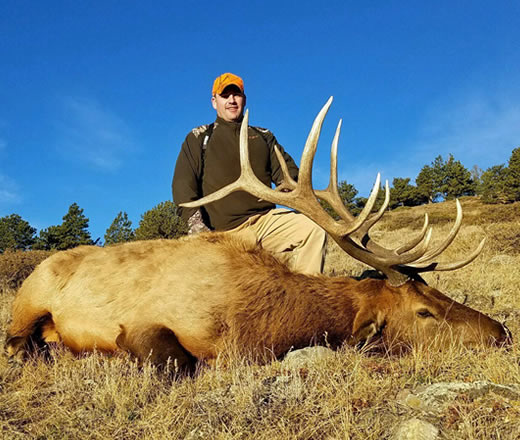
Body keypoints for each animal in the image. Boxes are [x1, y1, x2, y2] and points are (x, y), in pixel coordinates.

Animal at [5, 97, 512, 372]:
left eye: (441, 292)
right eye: (425, 313)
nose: (503, 332)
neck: (257, 322)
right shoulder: (144, 323)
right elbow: (177, 360)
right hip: (29, 299)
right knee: (15, 341)